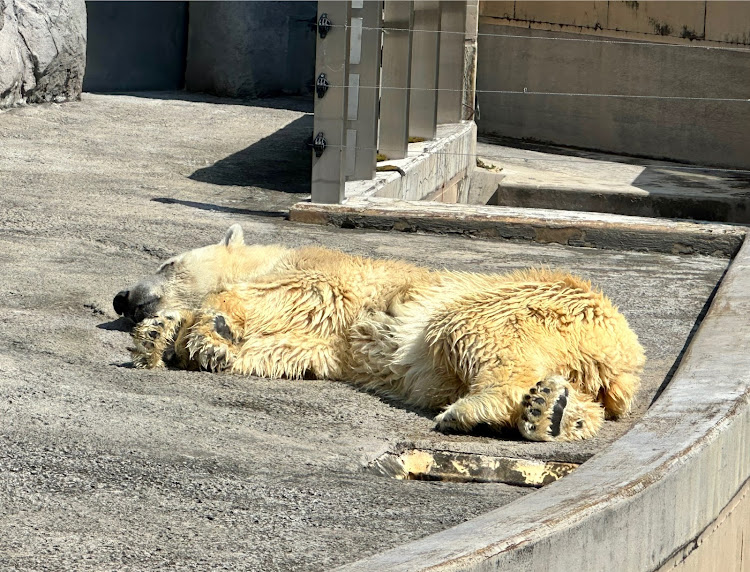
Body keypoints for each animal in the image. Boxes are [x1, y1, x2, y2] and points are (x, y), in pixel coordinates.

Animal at [113, 225, 648, 442]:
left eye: (167, 262)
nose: (122, 298)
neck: (268, 256)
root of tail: (624, 352)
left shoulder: (320, 273)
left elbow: (290, 295)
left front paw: (209, 326)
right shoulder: (329, 344)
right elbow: (288, 351)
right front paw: (161, 340)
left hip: (518, 303)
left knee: (470, 332)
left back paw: (475, 411)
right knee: (580, 395)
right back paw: (553, 413)